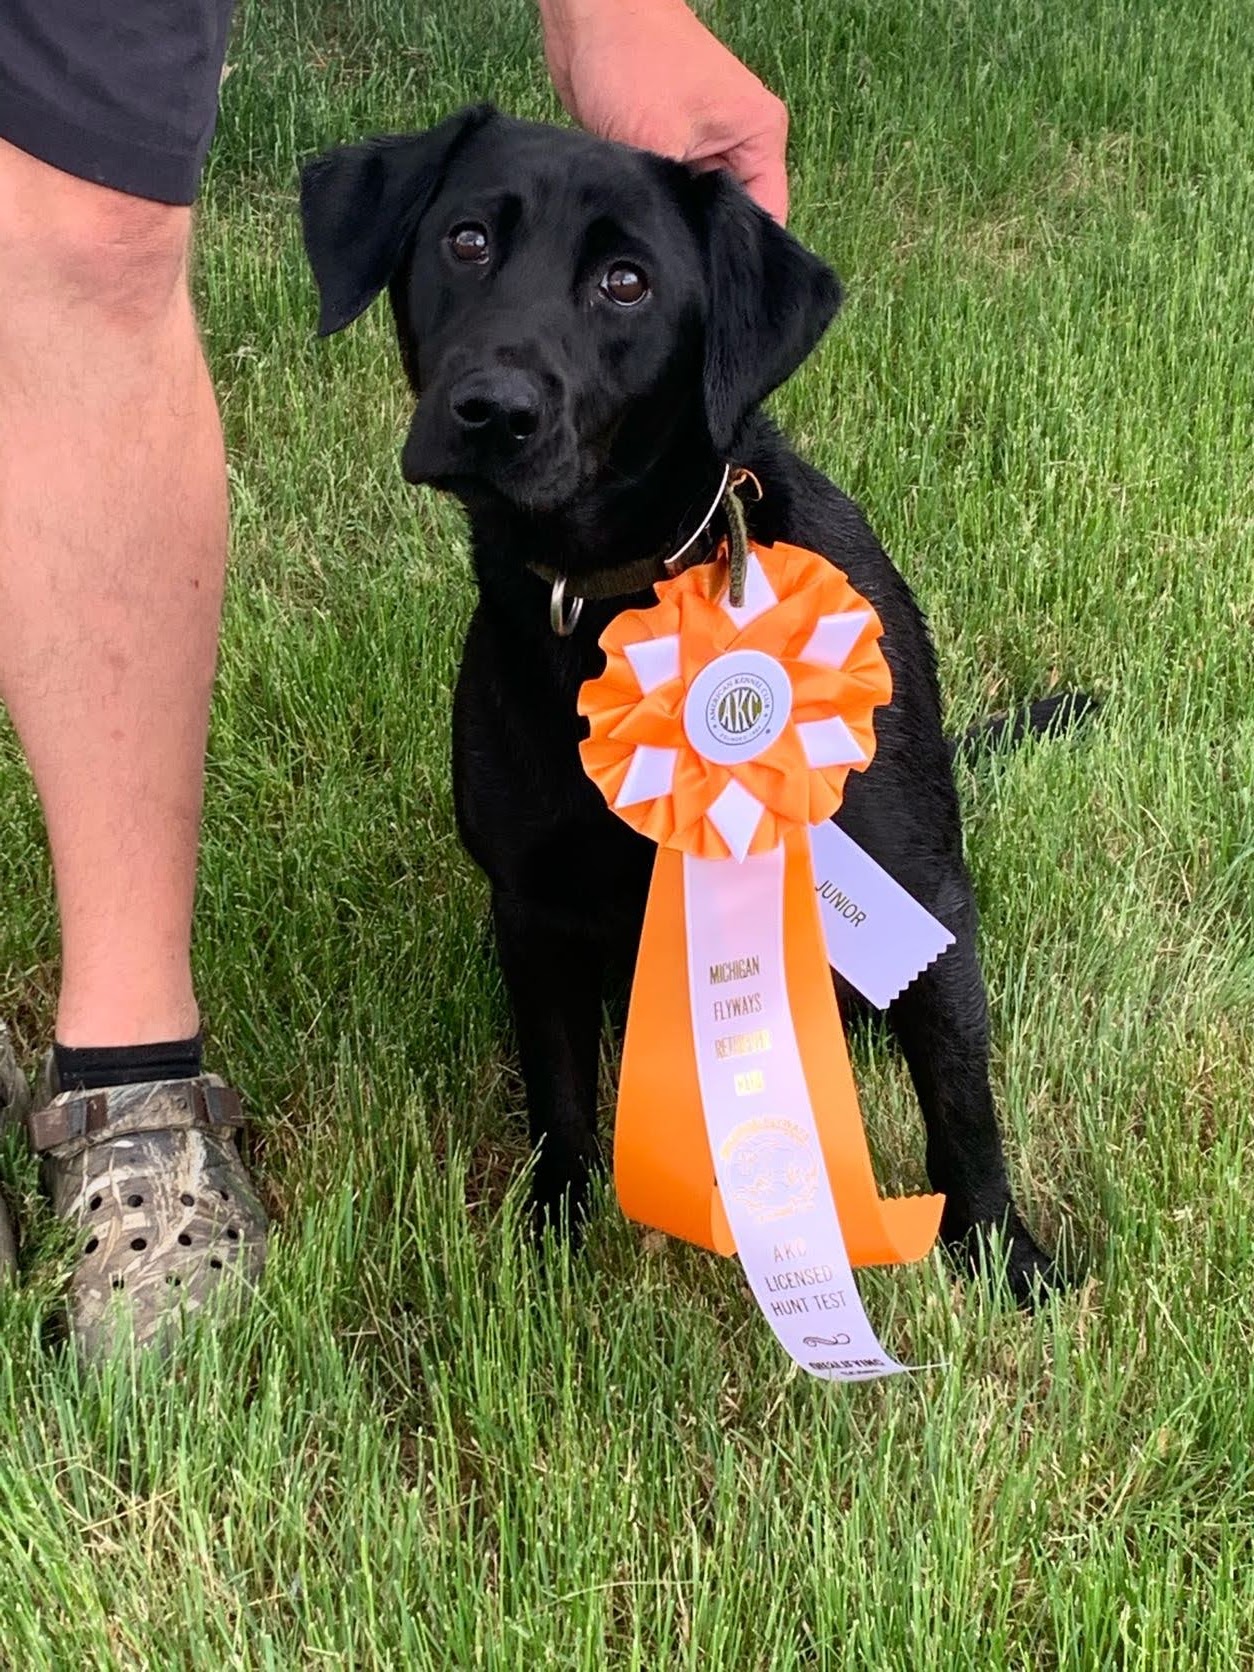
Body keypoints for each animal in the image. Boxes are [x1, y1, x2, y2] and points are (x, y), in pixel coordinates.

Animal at [299, 104, 1076, 1304]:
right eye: (466, 241)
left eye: (627, 282)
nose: (491, 412)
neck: (618, 600)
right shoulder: (534, 912)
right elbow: (560, 1098)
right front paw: (553, 1245)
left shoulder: (919, 890)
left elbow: (961, 1103)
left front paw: (1003, 1257)